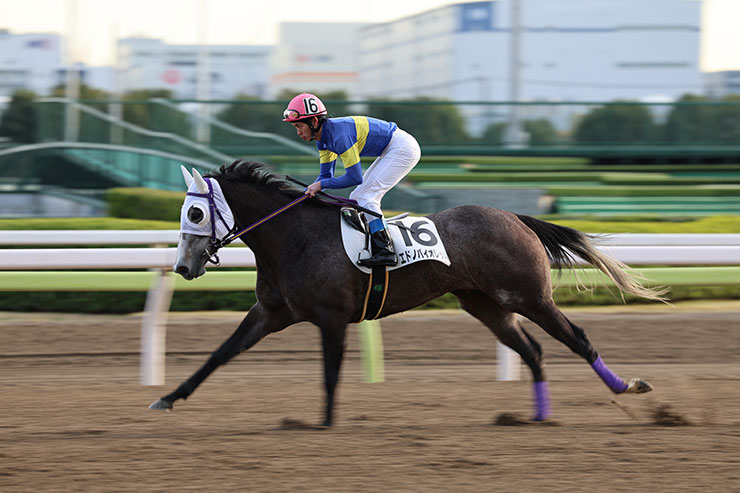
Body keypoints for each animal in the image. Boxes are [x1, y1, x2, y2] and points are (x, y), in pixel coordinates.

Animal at [149, 159, 667, 426]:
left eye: (194, 214)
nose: (182, 267)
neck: (295, 237)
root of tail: (516, 218)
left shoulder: (331, 317)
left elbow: (331, 373)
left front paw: (324, 422)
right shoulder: (272, 311)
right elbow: (219, 354)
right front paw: (168, 398)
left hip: (529, 297)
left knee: (576, 338)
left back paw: (629, 387)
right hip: (487, 304)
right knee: (533, 350)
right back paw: (537, 416)